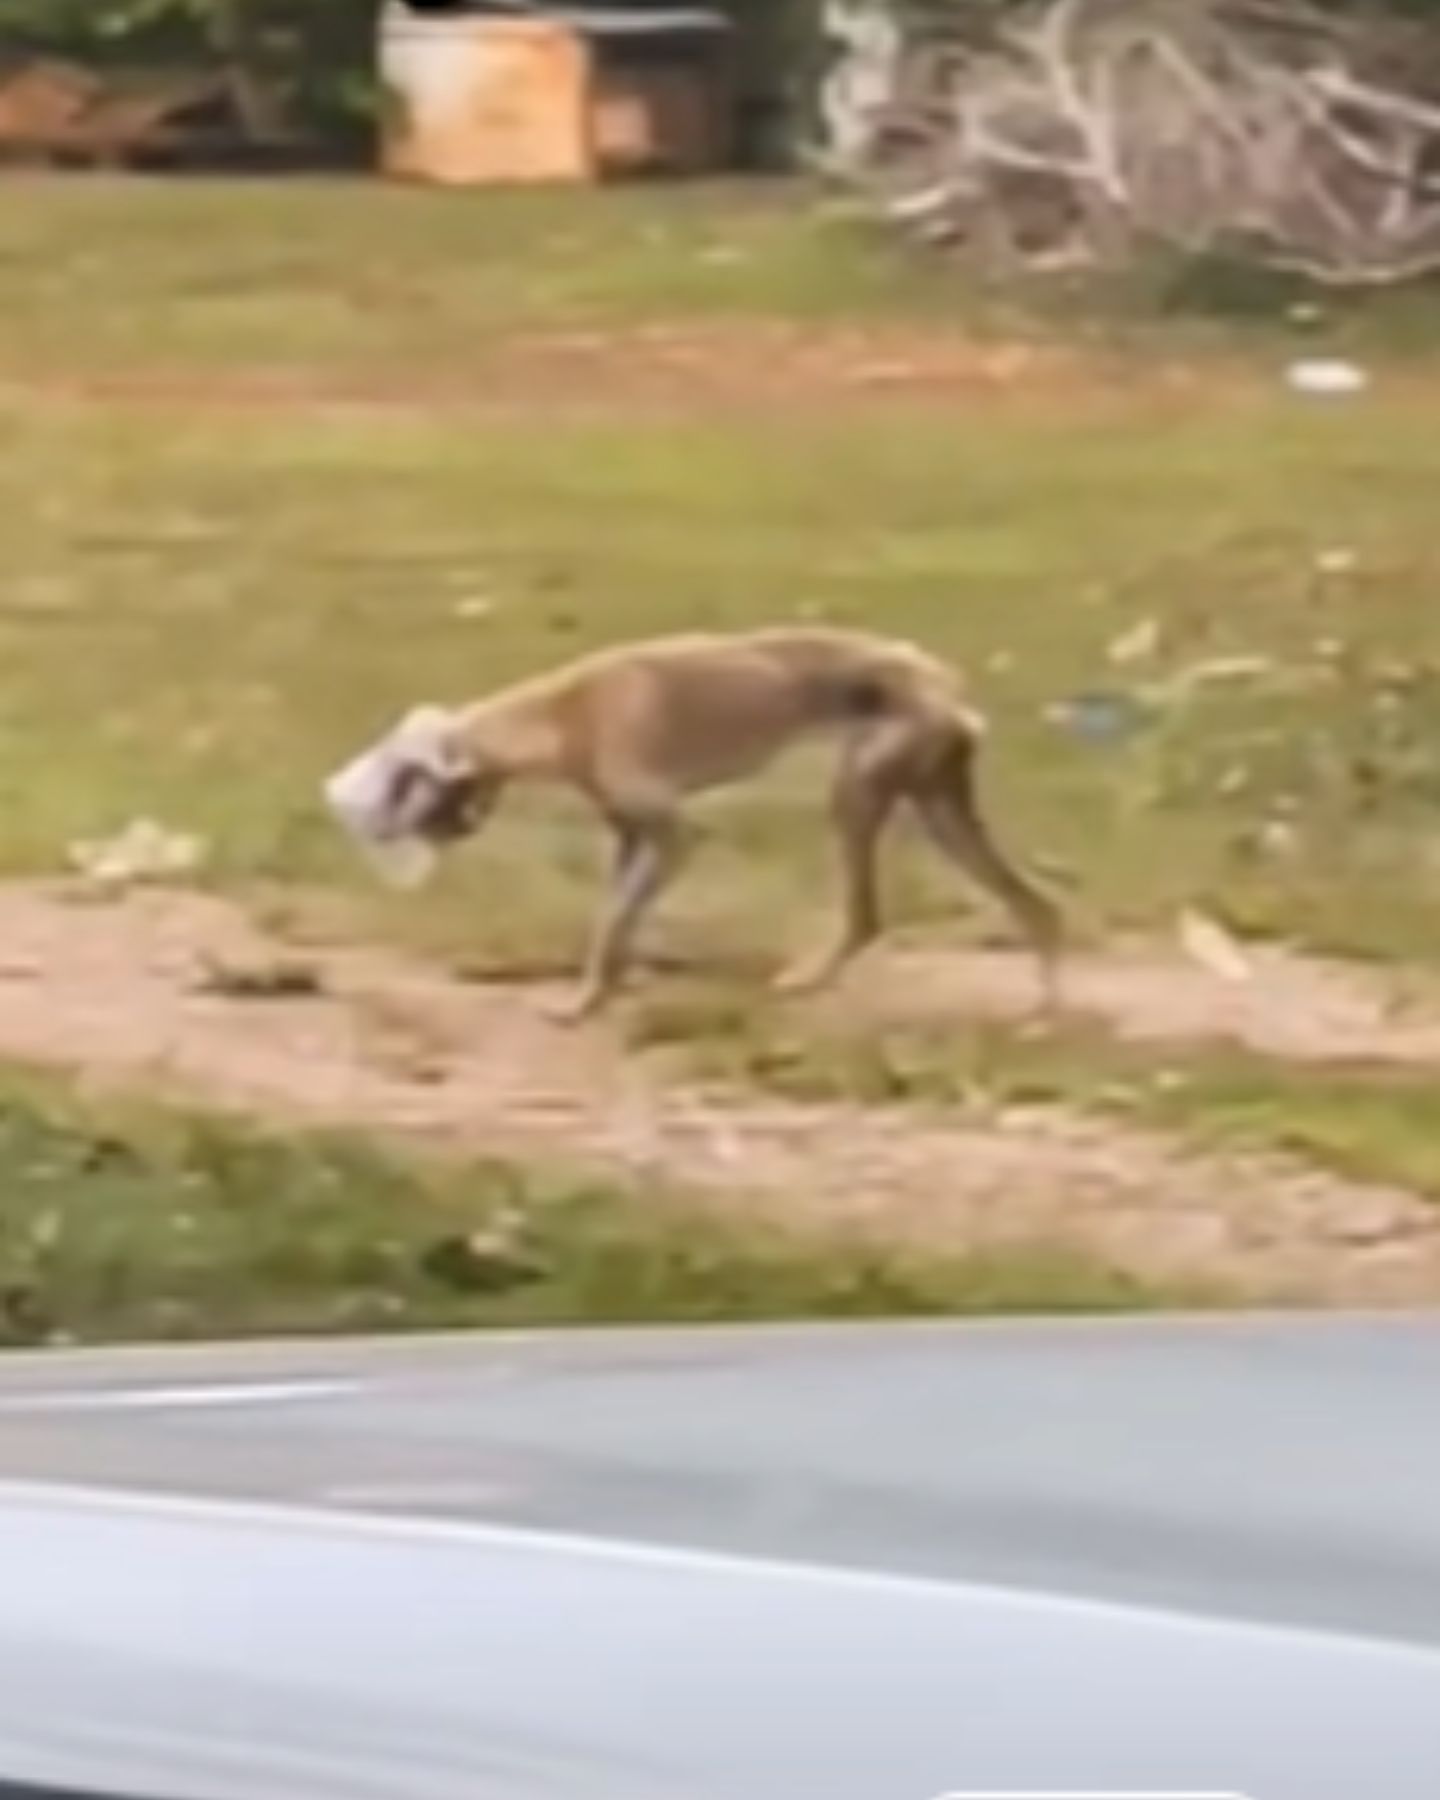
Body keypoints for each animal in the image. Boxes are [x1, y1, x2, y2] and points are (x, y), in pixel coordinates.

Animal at [329, 626, 1065, 1022]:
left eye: (402, 783)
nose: (385, 835)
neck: (564, 712)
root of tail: (948, 689)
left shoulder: (672, 836)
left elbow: (615, 921)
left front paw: (583, 1005)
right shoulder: (630, 838)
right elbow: (613, 925)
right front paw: (599, 995)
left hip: (858, 797)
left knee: (867, 915)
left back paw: (809, 980)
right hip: (938, 807)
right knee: (1036, 904)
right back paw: (1044, 1005)